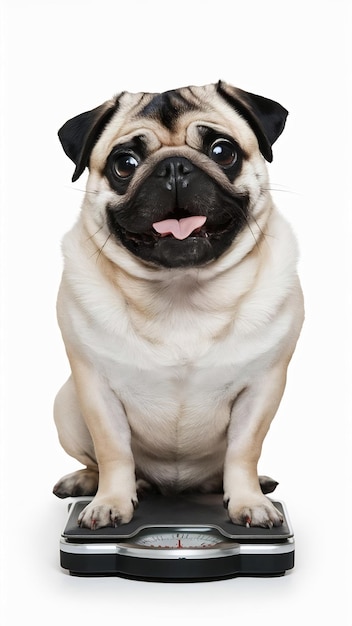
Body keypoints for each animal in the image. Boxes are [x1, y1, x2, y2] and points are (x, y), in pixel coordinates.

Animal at [53, 78, 304, 528]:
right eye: (125, 163)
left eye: (222, 151)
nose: (173, 168)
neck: (181, 292)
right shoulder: (96, 391)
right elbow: (112, 450)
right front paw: (110, 502)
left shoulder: (262, 388)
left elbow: (244, 449)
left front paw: (249, 501)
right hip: (66, 407)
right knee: (97, 461)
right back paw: (87, 482)